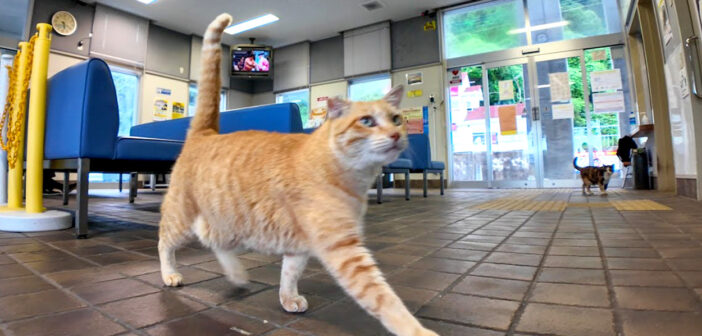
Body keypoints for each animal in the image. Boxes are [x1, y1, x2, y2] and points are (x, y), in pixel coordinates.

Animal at [158, 13, 440, 336]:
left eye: (396, 119)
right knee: (164, 242)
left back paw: (237, 275)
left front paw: (288, 299)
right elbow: (384, 298)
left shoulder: (300, 246)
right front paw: (417, 330)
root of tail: (205, 134)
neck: (351, 175)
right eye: (367, 121)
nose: (395, 134)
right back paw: (170, 274)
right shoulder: (344, 249)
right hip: (183, 217)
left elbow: (289, 274)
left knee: (214, 243)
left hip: (228, 223)